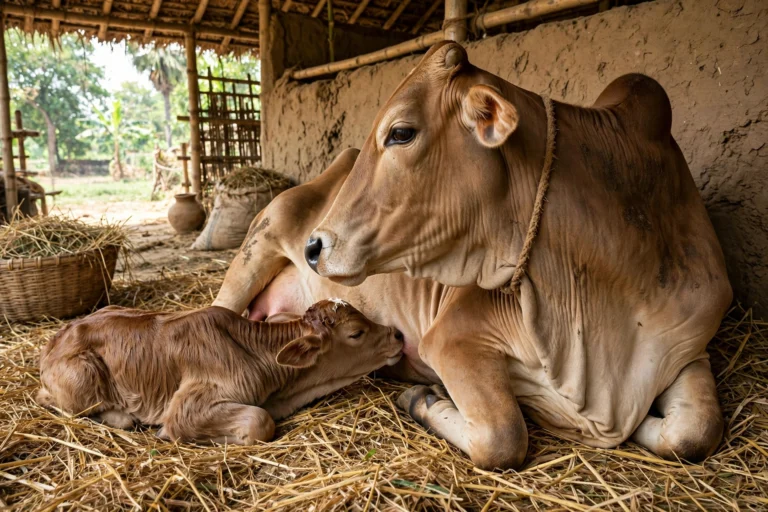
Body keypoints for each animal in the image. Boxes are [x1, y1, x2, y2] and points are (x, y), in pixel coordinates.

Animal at [36, 300, 404, 444]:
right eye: (356, 333)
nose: (398, 334)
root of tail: (56, 339)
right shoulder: (186, 407)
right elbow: (259, 421)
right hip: (82, 376)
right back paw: (123, 417)